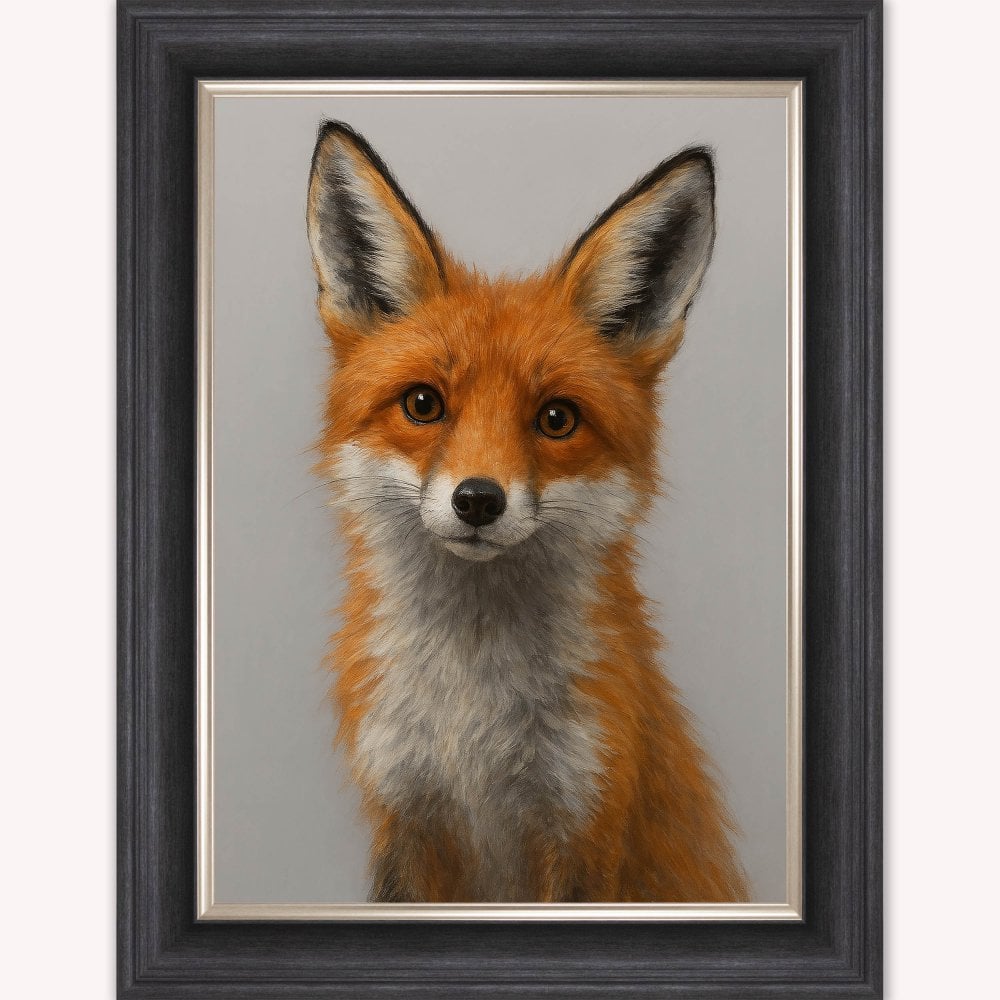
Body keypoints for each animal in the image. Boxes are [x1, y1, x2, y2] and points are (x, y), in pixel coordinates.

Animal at [305, 121, 749, 903]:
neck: (472, 723)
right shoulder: (405, 812)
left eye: (556, 418)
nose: (479, 499)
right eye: (424, 404)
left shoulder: (584, 824)